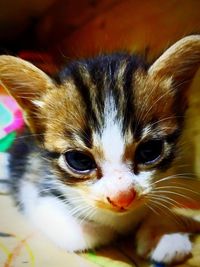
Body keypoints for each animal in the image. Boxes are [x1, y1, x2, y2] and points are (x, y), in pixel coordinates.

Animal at [0, 34, 200, 264]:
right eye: (79, 160)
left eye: (150, 151)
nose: (122, 197)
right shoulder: (34, 185)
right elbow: (82, 234)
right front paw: (114, 230)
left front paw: (164, 233)